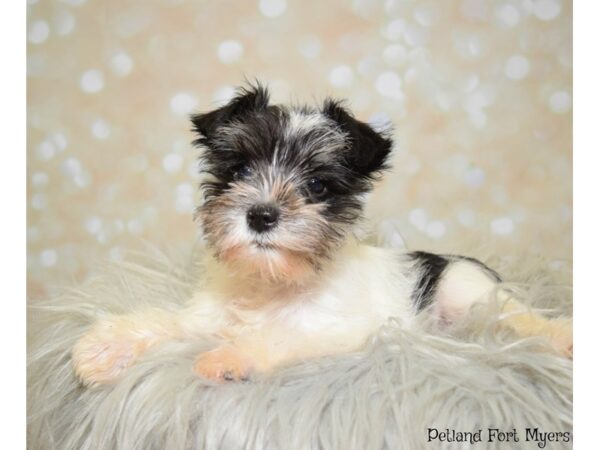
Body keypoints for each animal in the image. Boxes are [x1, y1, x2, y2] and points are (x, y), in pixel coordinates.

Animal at [71, 85, 572, 386]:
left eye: (315, 186)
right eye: (241, 171)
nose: (261, 215)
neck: (271, 282)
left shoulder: (337, 332)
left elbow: (279, 337)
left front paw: (227, 358)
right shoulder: (205, 318)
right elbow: (167, 322)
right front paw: (105, 345)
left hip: (469, 294)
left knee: (522, 318)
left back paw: (561, 337)